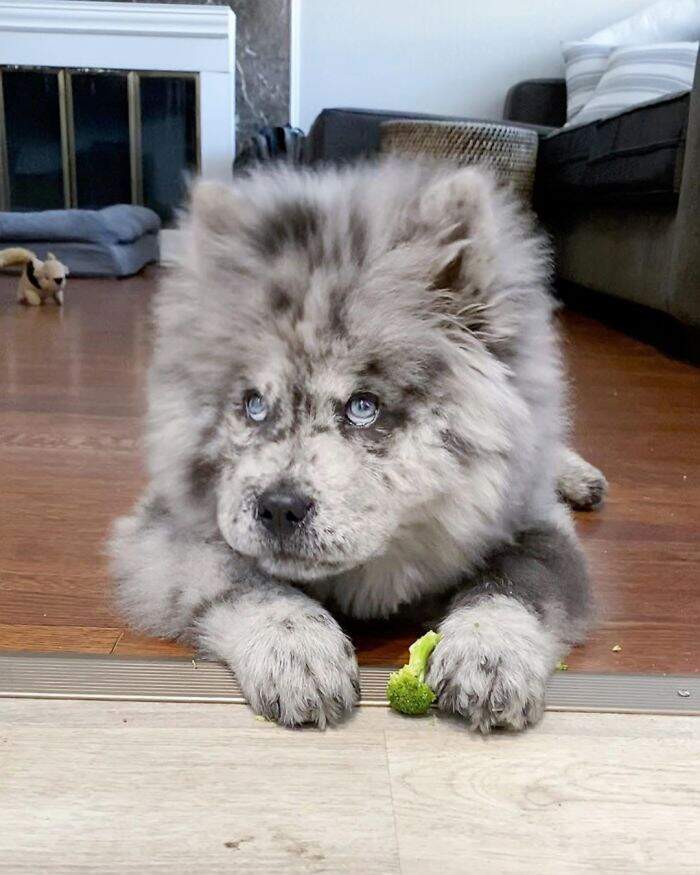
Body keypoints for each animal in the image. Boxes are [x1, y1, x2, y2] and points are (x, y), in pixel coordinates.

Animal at [110, 157, 608, 732]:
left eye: (363, 407)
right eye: (254, 405)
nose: (279, 508)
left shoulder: (535, 524)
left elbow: (517, 583)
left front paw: (490, 653)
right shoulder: (171, 532)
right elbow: (242, 580)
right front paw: (297, 651)